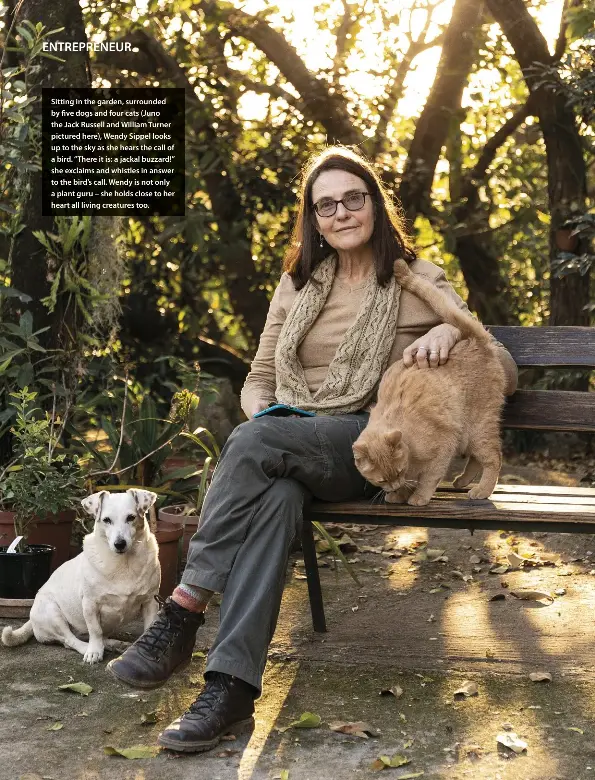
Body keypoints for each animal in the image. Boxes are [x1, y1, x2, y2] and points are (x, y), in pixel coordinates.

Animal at [1, 488, 162, 664]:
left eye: (131, 517)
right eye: (106, 520)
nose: (120, 544)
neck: (123, 563)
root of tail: (31, 619)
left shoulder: (150, 601)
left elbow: (147, 629)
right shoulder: (90, 604)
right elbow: (95, 631)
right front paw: (94, 652)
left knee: (92, 637)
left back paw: (115, 644)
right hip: (53, 614)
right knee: (70, 640)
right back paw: (88, 648)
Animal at [354, 258, 508, 508]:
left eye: (398, 472)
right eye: (382, 480)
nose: (394, 486)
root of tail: (476, 339)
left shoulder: (444, 447)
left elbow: (429, 478)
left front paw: (417, 497)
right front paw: (400, 494)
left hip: (477, 428)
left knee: (493, 457)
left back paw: (481, 490)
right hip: (467, 436)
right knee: (476, 458)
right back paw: (462, 481)